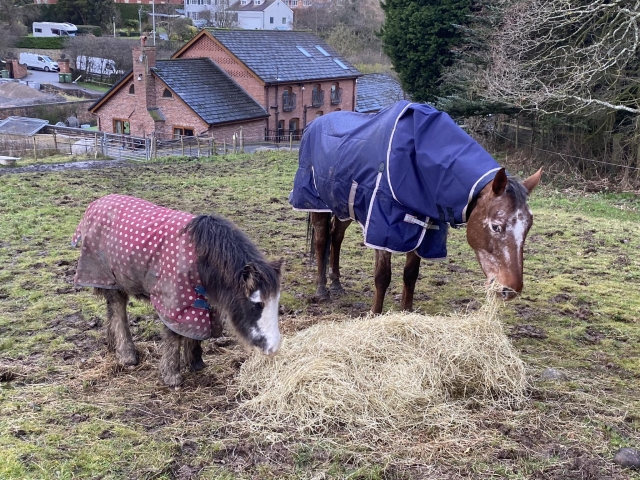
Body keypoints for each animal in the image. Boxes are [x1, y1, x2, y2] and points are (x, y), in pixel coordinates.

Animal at [72, 194, 282, 387]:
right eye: (257, 304)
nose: (273, 348)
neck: (203, 258)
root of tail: (94, 205)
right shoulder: (174, 299)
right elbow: (174, 335)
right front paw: (172, 376)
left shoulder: (201, 301)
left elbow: (195, 331)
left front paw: (196, 362)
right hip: (107, 278)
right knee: (118, 311)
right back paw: (127, 355)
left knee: (111, 309)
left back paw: (111, 346)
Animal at [289, 101, 541, 313]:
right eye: (496, 226)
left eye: (528, 226)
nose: (510, 290)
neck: (417, 164)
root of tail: (313, 125)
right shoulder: (383, 228)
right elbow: (383, 277)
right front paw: (375, 315)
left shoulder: (425, 230)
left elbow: (411, 274)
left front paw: (407, 312)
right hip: (317, 204)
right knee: (322, 240)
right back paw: (322, 290)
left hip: (344, 208)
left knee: (336, 237)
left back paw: (337, 284)